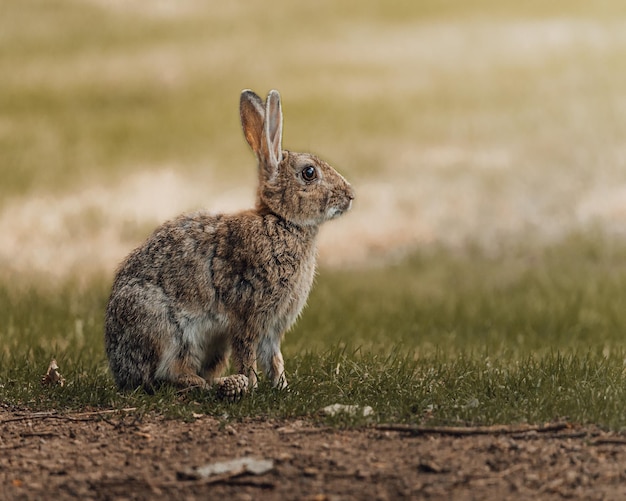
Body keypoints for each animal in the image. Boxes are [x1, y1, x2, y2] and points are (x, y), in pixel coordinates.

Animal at [105, 89, 354, 398]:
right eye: (309, 173)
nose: (350, 195)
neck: (280, 221)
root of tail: (120, 369)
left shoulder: (272, 328)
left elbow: (275, 358)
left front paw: (283, 387)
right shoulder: (247, 315)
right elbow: (247, 354)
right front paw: (253, 386)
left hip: (213, 348)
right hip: (163, 328)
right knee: (165, 375)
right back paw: (208, 384)